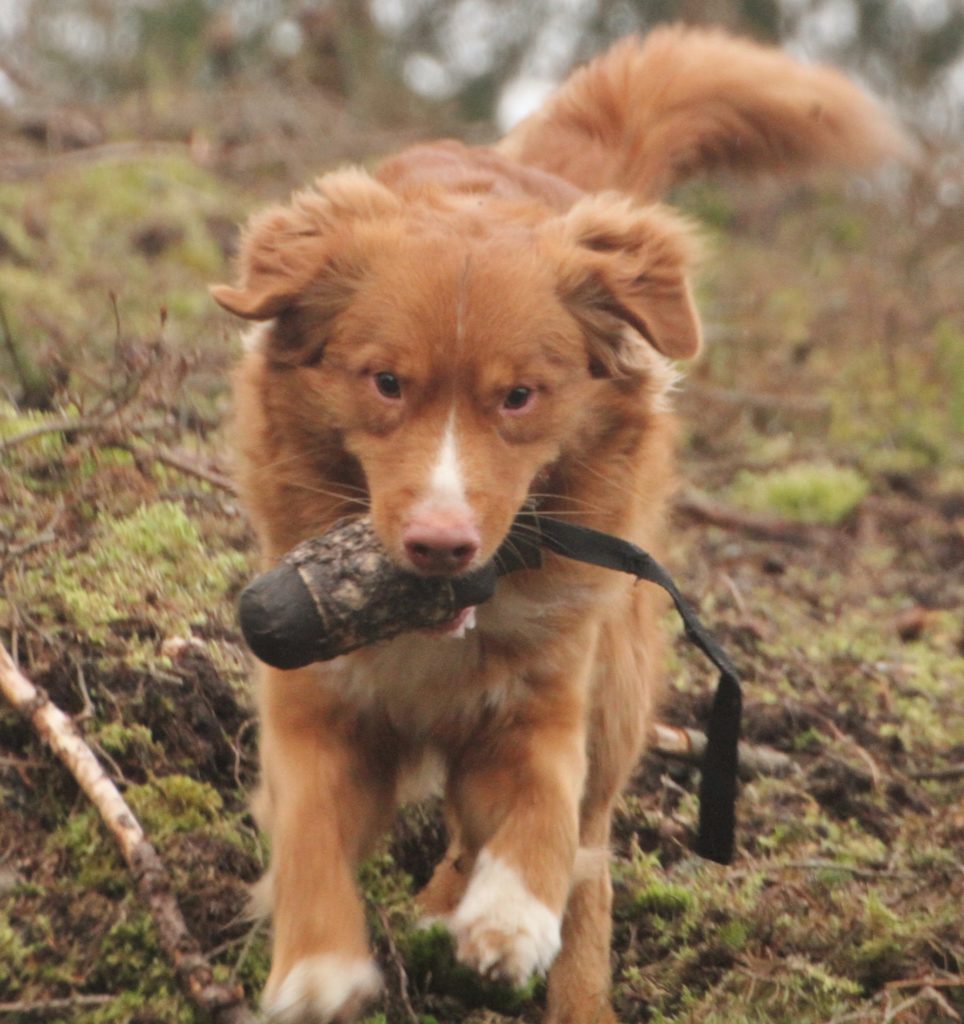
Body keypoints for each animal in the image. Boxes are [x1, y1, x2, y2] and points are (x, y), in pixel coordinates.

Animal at [211, 25, 901, 1024]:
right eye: (386, 382)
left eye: (520, 397)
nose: (442, 545)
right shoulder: (314, 697)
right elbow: (308, 827)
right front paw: (316, 964)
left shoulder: (548, 693)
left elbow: (542, 808)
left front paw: (510, 919)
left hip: (619, 679)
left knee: (590, 850)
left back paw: (551, 970)